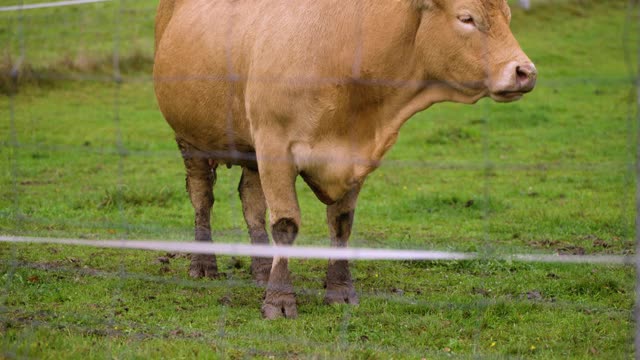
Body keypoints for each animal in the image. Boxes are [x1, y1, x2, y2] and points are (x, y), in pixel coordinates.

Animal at [154, 0, 536, 320]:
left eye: (508, 16)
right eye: (466, 18)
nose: (525, 72)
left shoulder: (354, 157)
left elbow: (340, 223)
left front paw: (339, 290)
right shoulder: (275, 146)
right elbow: (286, 224)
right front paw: (280, 300)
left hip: (249, 147)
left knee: (251, 204)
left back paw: (261, 270)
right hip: (189, 137)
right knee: (202, 197)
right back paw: (204, 265)